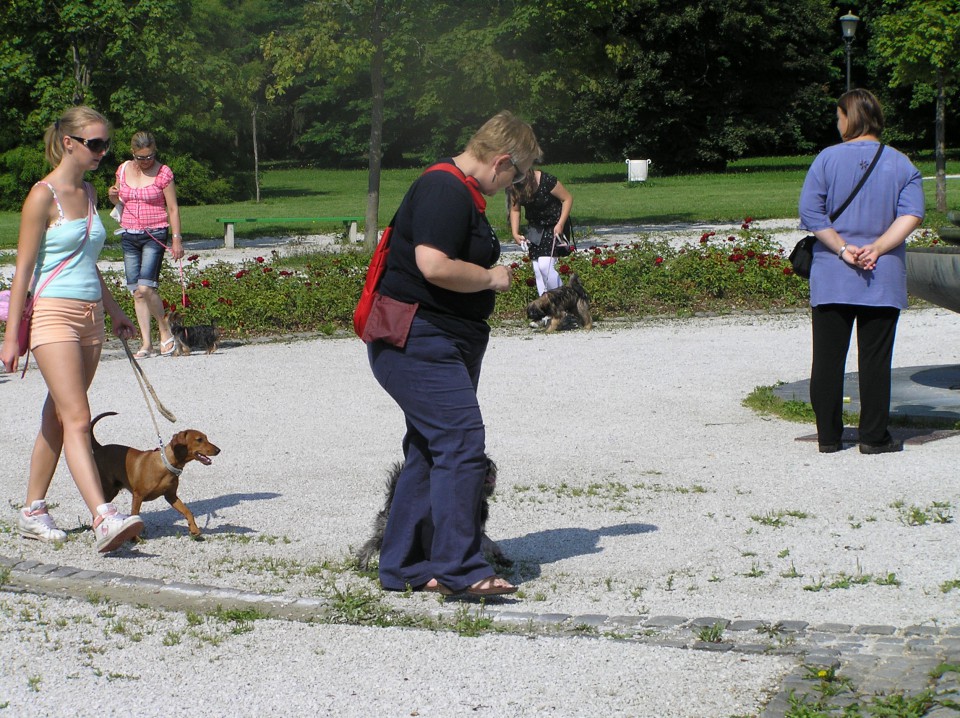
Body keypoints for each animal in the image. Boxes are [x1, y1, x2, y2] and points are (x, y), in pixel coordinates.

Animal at [356, 462, 510, 572]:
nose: (489, 466)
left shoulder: (479, 533)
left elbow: (492, 545)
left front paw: (501, 559)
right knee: (371, 545)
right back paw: (364, 564)